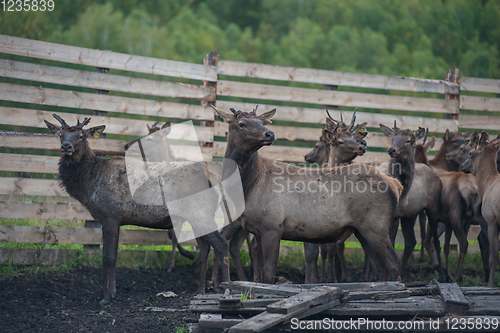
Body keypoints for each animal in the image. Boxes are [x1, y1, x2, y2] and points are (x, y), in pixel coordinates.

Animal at [44, 113, 229, 302]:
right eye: (61, 134)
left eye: (81, 136)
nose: (66, 146)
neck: (89, 182)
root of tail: (216, 180)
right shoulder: (108, 220)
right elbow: (105, 256)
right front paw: (104, 292)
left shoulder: (111, 216)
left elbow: (110, 257)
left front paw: (108, 295)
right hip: (196, 216)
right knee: (206, 248)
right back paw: (200, 290)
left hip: (201, 214)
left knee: (222, 244)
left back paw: (225, 288)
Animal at [214, 105, 402, 284]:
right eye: (241, 123)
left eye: (261, 121)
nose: (270, 134)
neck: (249, 185)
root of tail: (395, 184)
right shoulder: (258, 230)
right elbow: (260, 274)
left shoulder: (272, 227)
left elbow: (268, 274)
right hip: (362, 230)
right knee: (381, 267)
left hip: (376, 226)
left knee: (393, 263)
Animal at [460, 130, 500, 286]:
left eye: (470, 153)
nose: (462, 165)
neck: (487, 183)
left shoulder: (491, 221)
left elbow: (493, 257)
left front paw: (490, 285)